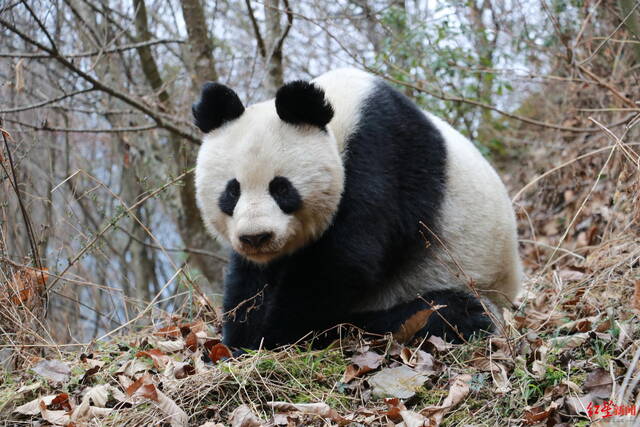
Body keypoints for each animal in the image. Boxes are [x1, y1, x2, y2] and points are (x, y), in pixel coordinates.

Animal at [192, 68, 524, 350]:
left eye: (282, 188)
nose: (256, 237)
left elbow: (345, 262)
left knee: (442, 312)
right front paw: (239, 339)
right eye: (232, 191)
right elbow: (250, 279)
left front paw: (277, 336)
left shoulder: (381, 155)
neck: (342, 116)